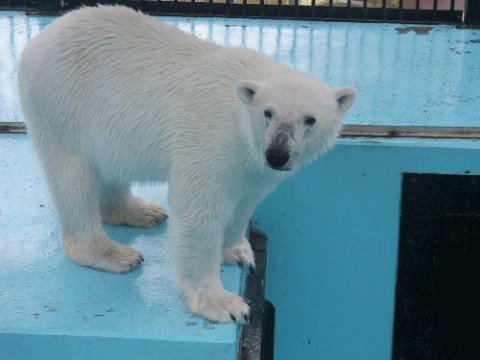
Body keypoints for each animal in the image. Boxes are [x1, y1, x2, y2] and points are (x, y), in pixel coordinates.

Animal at [17, 5, 356, 324]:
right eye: (268, 113)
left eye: (309, 119)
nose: (277, 154)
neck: (240, 117)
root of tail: (39, 40)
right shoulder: (210, 140)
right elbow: (199, 213)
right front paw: (222, 303)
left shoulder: (253, 167)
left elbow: (245, 200)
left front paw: (237, 250)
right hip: (61, 105)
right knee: (73, 178)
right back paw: (112, 254)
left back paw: (140, 211)